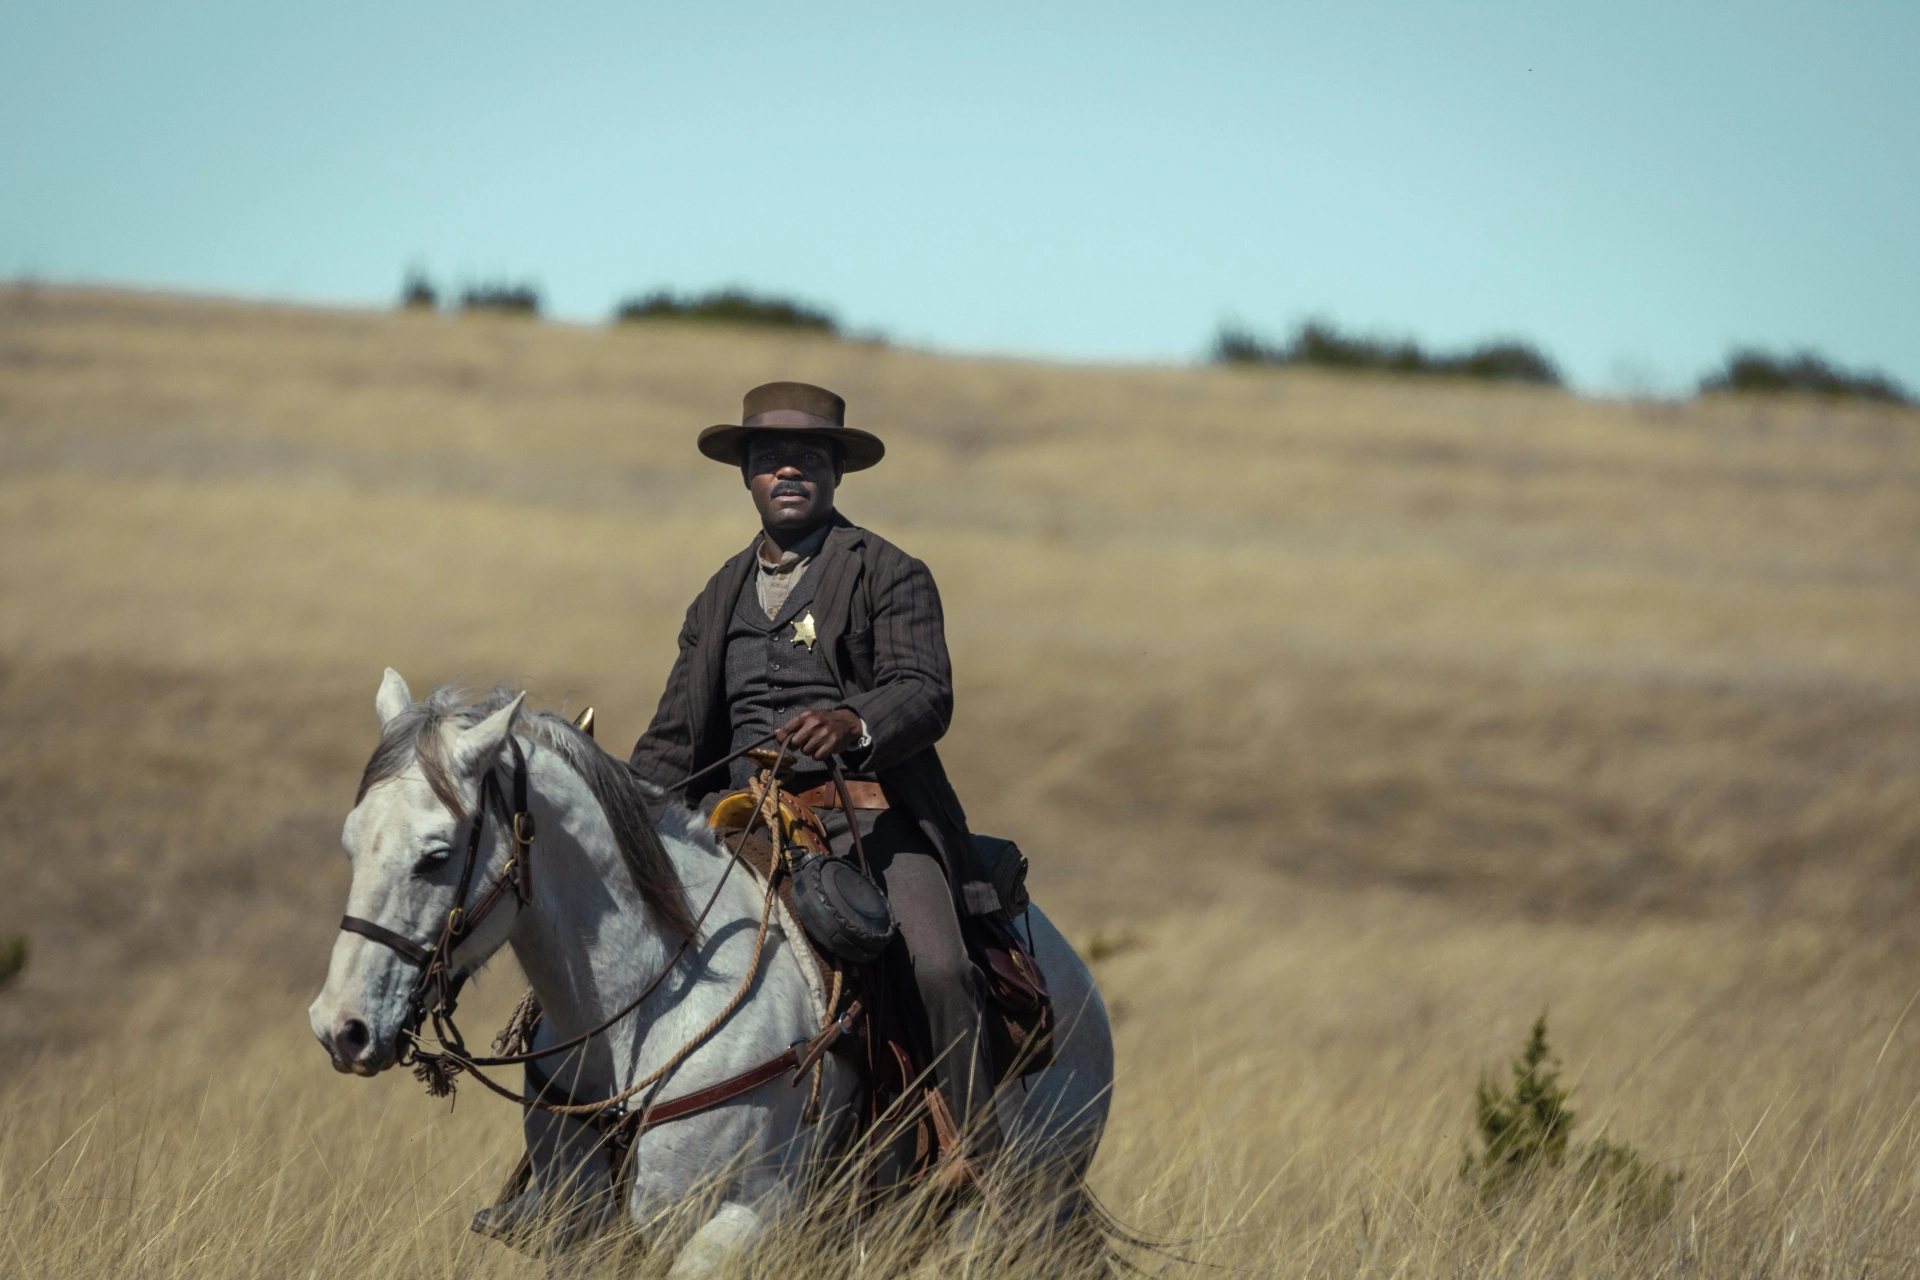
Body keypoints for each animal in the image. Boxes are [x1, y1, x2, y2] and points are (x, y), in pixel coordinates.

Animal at [299, 675, 1113, 1274]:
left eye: (436, 855)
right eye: (349, 842)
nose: (342, 1027)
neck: (646, 1008)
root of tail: (1076, 983)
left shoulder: (738, 1222)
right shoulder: (581, 1236)